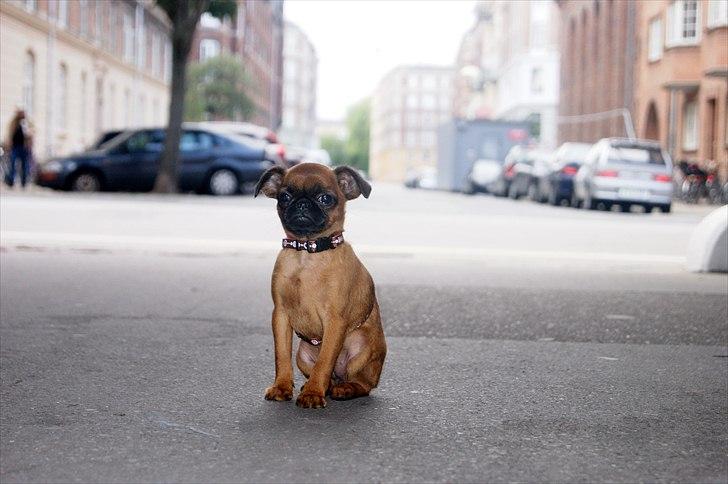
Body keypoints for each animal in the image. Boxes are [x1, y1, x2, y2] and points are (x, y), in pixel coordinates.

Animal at [258, 163, 390, 408]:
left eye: (325, 198)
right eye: (284, 197)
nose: (302, 203)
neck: (307, 254)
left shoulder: (335, 321)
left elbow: (325, 360)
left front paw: (312, 393)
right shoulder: (280, 316)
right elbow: (281, 355)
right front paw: (282, 386)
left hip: (360, 345)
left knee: (363, 384)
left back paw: (343, 389)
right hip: (302, 355)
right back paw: (324, 387)